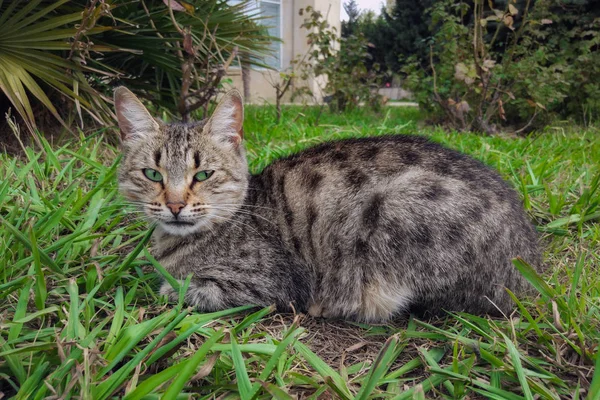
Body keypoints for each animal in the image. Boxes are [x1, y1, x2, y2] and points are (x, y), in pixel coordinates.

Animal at [115, 86, 540, 322]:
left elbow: (183, 289)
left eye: (203, 175)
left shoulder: (272, 284)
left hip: (392, 211)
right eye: (152, 175)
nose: (174, 205)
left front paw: (169, 284)